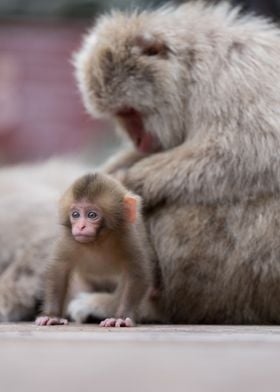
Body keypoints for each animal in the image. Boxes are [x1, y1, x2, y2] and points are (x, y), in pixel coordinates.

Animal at [36, 172, 153, 328]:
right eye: (75, 214)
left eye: (92, 215)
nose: (81, 227)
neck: (98, 241)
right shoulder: (69, 240)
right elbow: (59, 270)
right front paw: (52, 316)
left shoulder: (129, 238)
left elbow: (137, 273)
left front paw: (121, 318)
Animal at [68, 1, 280, 324]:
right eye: (120, 116)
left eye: (130, 111)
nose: (138, 139)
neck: (191, 71)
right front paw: (112, 171)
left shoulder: (234, 74)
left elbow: (252, 148)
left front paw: (132, 180)